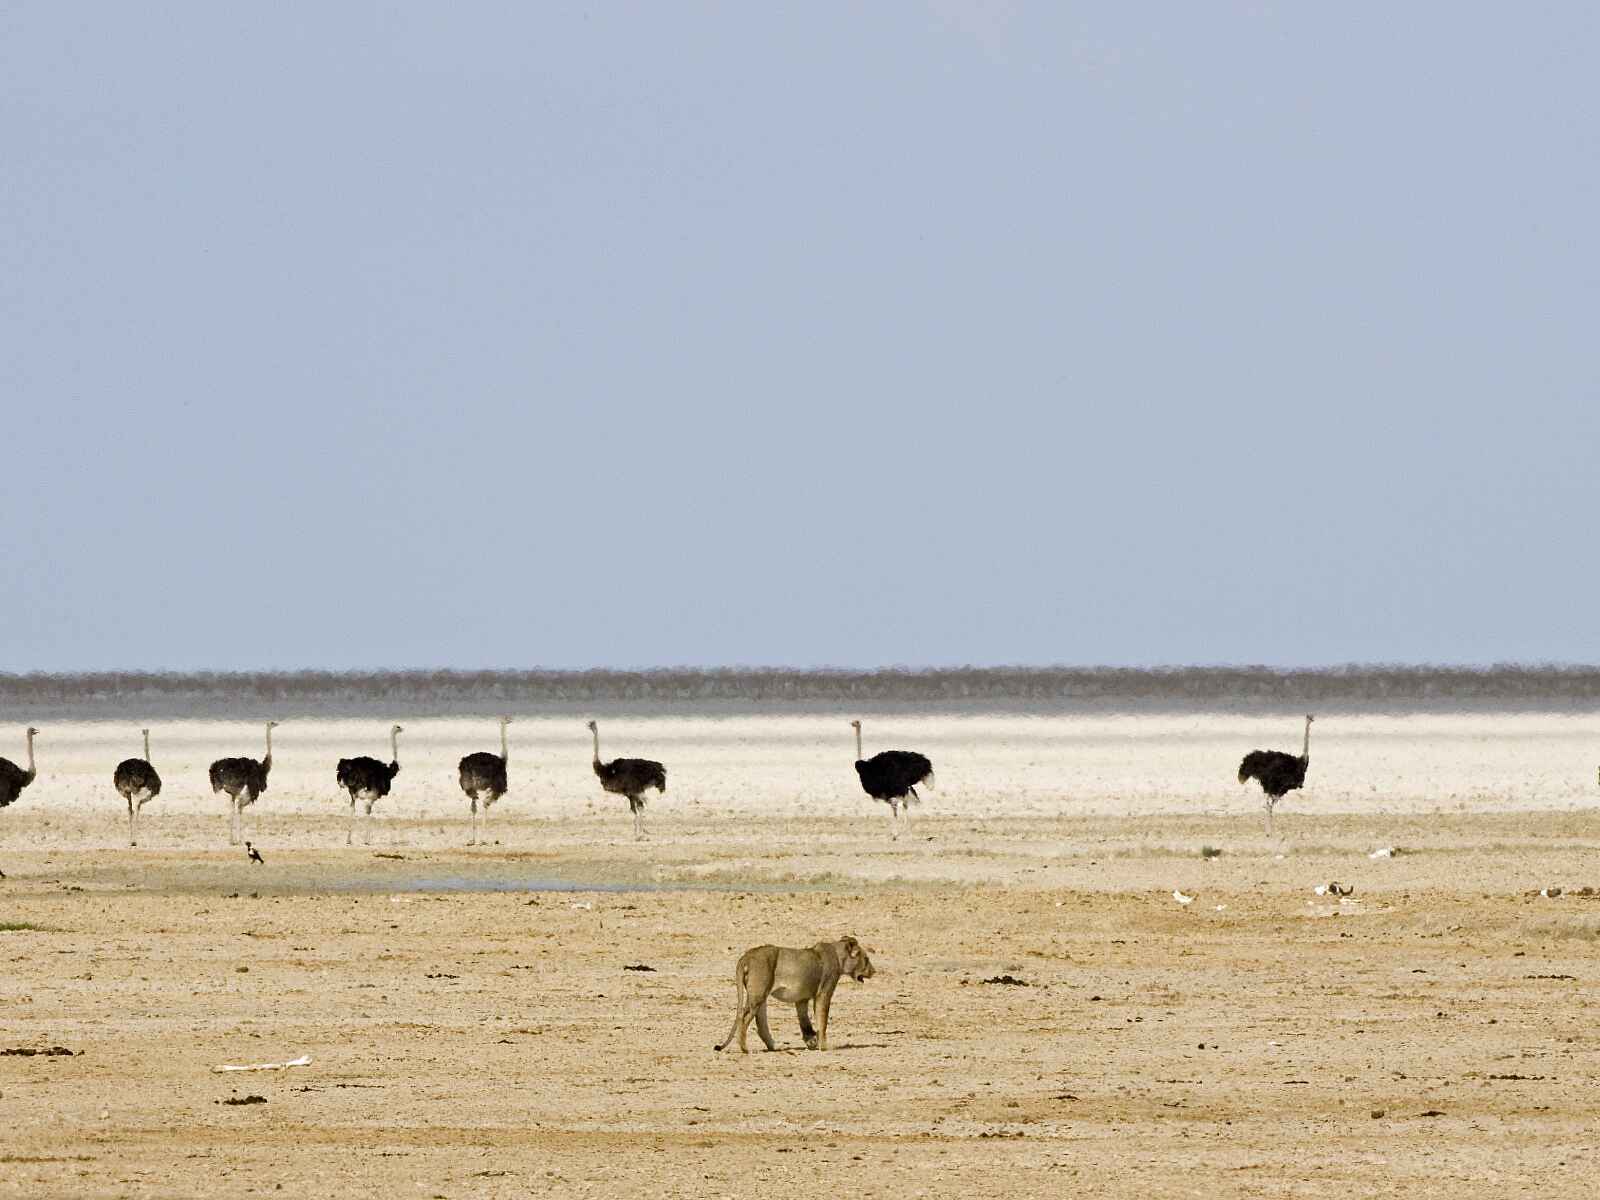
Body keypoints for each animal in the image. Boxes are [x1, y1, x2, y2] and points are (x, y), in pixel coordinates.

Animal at [713, 936, 875, 1053]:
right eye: (866, 959)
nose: (874, 971)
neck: (838, 956)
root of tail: (746, 956)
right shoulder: (824, 993)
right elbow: (822, 1021)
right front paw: (823, 1046)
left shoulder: (802, 999)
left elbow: (805, 1021)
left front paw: (811, 1041)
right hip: (758, 994)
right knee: (744, 1018)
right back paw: (745, 1049)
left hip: (760, 995)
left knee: (760, 1023)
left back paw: (773, 1047)